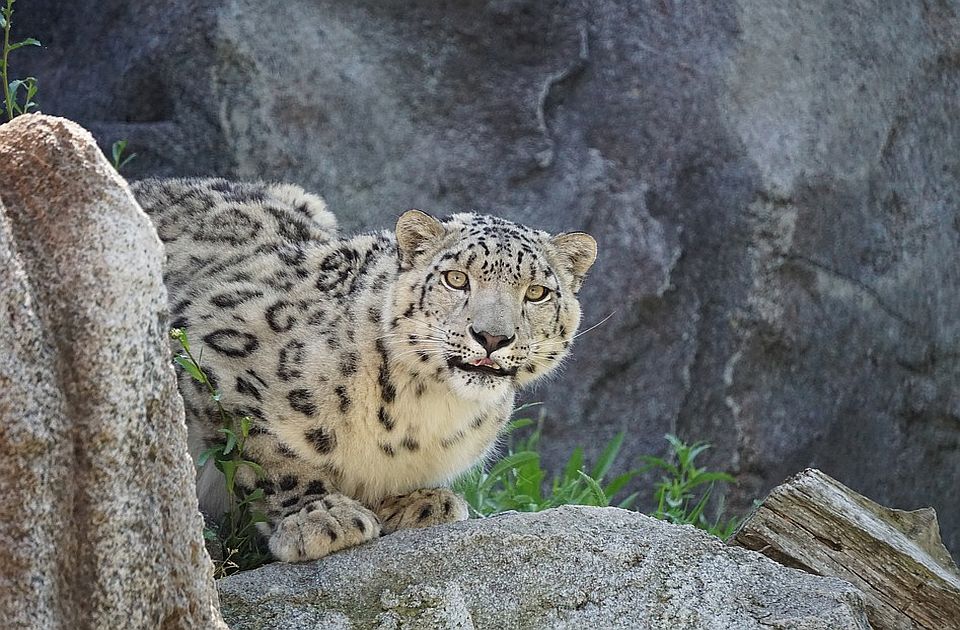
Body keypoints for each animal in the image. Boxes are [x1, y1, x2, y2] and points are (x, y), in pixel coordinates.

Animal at [131, 178, 596, 564]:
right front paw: (320, 517)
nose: (492, 337)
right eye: (455, 278)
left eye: (536, 292)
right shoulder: (209, 349)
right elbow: (264, 454)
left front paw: (419, 503)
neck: (427, 410)